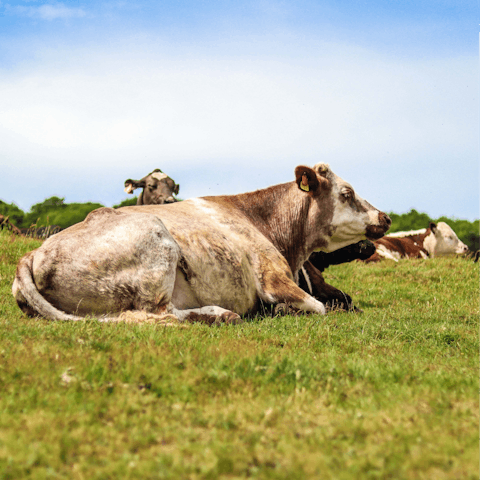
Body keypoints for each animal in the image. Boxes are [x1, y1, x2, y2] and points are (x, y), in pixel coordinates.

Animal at [13, 163, 392, 324]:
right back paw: (219, 314)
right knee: (155, 315)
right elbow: (320, 307)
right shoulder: (274, 279)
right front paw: (282, 310)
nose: (385, 217)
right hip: (158, 245)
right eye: (347, 193)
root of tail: (29, 256)